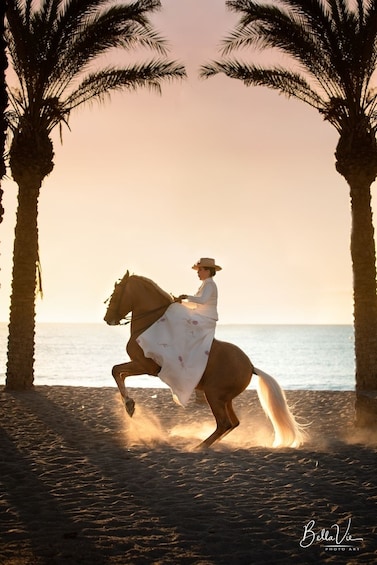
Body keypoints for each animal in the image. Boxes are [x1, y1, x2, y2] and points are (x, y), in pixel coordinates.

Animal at [103, 270, 306, 448]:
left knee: (224, 423)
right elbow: (118, 373)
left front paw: (129, 405)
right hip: (224, 399)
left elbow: (115, 370)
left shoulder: (145, 365)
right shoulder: (142, 366)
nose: (107, 319)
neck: (151, 323)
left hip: (214, 395)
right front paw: (129, 405)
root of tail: (251, 366)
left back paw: (198, 447)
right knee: (233, 423)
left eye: (116, 292)